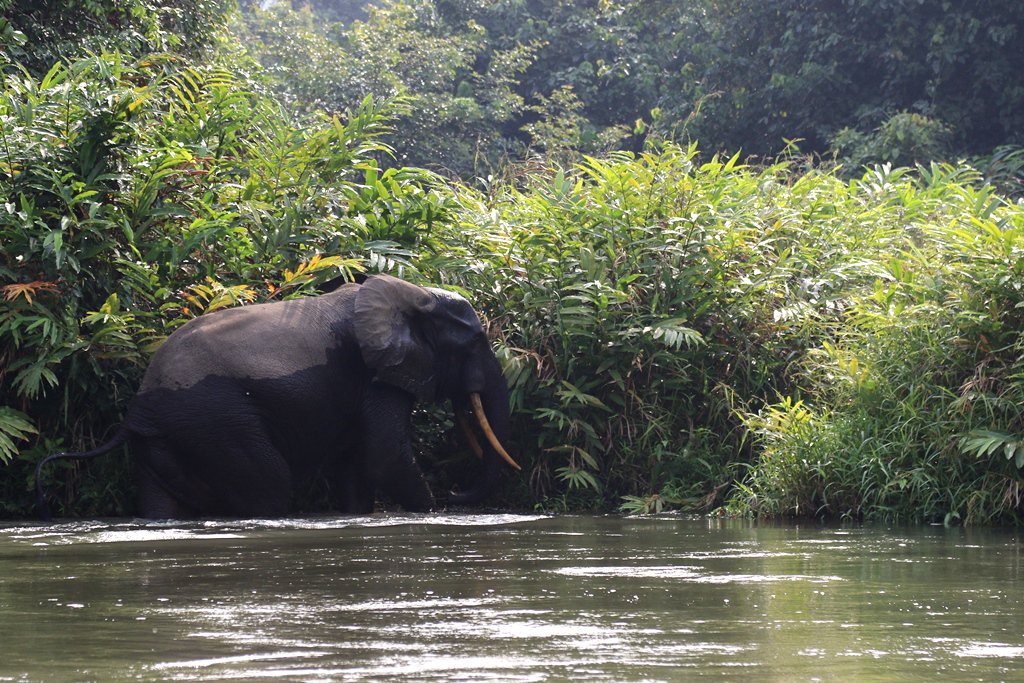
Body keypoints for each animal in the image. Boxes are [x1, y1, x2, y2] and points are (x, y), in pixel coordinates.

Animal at [35, 274, 519, 518]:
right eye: (474, 342)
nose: (453, 490)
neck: (411, 293)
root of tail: (138, 409)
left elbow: (355, 462)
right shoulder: (374, 373)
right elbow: (384, 455)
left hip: (165, 439)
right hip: (215, 420)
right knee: (269, 484)